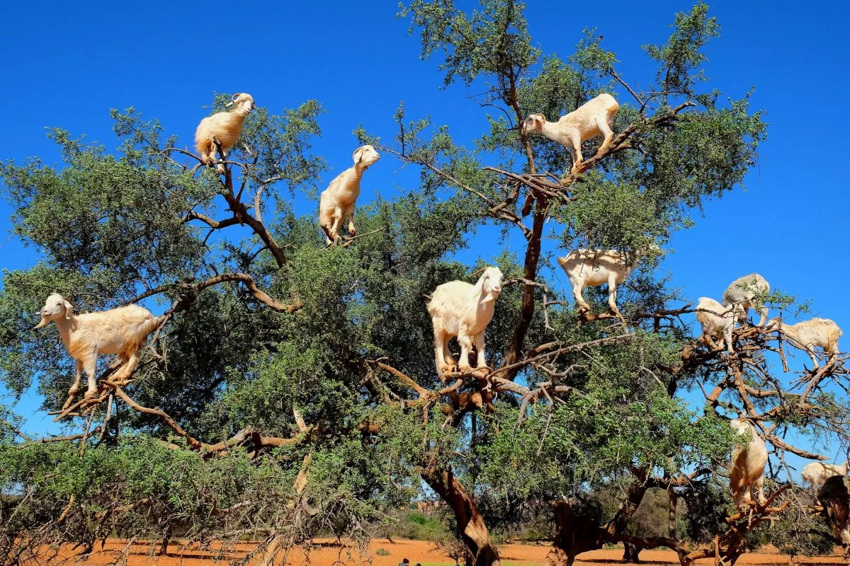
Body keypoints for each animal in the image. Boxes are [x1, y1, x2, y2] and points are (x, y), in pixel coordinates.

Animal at [33, 296, 162, 398]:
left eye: (59, 303)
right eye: (47, 302)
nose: (45, 311)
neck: (73, 326)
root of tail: (152, 317)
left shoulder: (90, 350)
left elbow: (90, 372)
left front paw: (90, 392)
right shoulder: (80, 352)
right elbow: (78, 371)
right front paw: (73, 389)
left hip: (133, 339)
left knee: (134, 358)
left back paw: (124, 375)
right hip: (122, 346)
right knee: (126, 360)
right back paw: (114, 377)